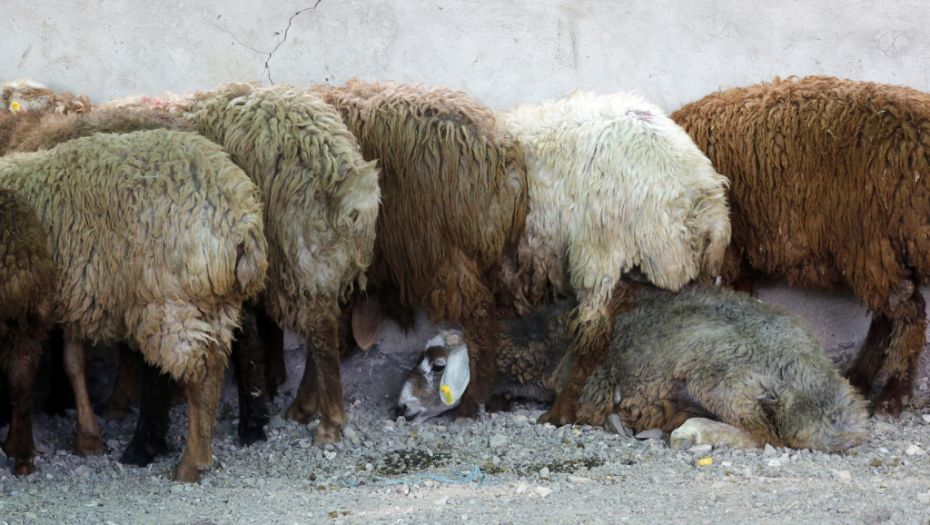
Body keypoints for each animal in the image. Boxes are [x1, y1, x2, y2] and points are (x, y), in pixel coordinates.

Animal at [0, 129, 268, 482]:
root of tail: (239, 220)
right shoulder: (76, 296)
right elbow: (73, 363)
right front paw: (88, 438)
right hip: (216, 301)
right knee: (217, 364)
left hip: (169, 300)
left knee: (199, 371)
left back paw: (188, 463)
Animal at [672, 75, 928, 416]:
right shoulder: (737, 254)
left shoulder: (724, 250)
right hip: (877, 250)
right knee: (888, 315)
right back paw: (859, 379)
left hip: (870, 242)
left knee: (908, 312)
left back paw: (892, 394)